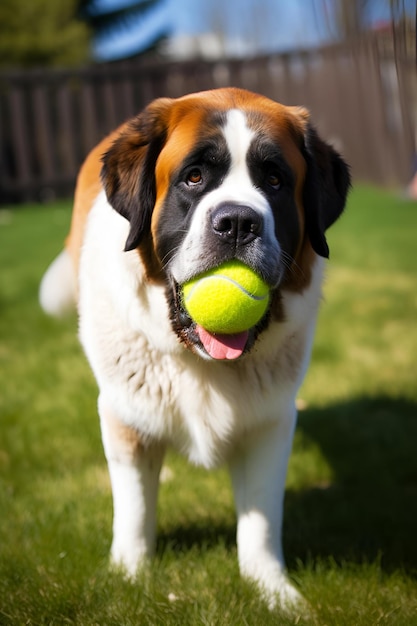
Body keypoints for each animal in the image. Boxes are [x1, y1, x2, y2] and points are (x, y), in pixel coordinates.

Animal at [40, 85, 350, 608]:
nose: (239, 222)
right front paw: (129, 578)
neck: (200, 361)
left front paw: (272, 591)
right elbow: (134, 507)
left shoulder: (270, 422)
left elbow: (261, 518)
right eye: (194, 177)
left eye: (274, 180)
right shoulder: (124, 414)